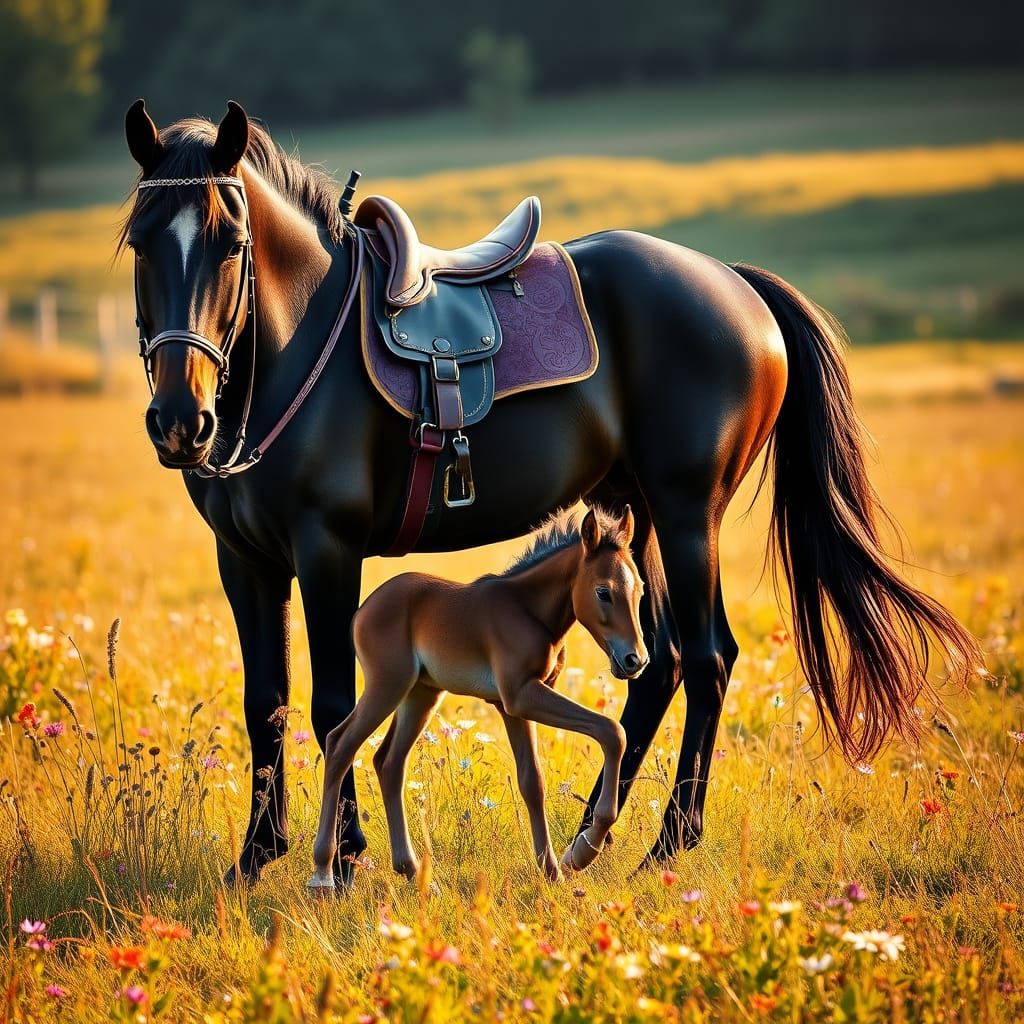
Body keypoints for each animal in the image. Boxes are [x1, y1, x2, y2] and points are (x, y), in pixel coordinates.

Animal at [307, 505, 646, 892]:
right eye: (604, 592)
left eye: (640, 589)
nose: (635, 660)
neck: (528, 610)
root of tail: (363, 611)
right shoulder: (520, 696)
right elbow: (612, 732)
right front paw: (583, 851)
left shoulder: (514, 705)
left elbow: (533, 781)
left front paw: (553, 871)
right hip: (387, 685)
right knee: (340, 744)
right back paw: (323, 873)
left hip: (421, 694)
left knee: (388, 762)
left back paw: (414, 872)